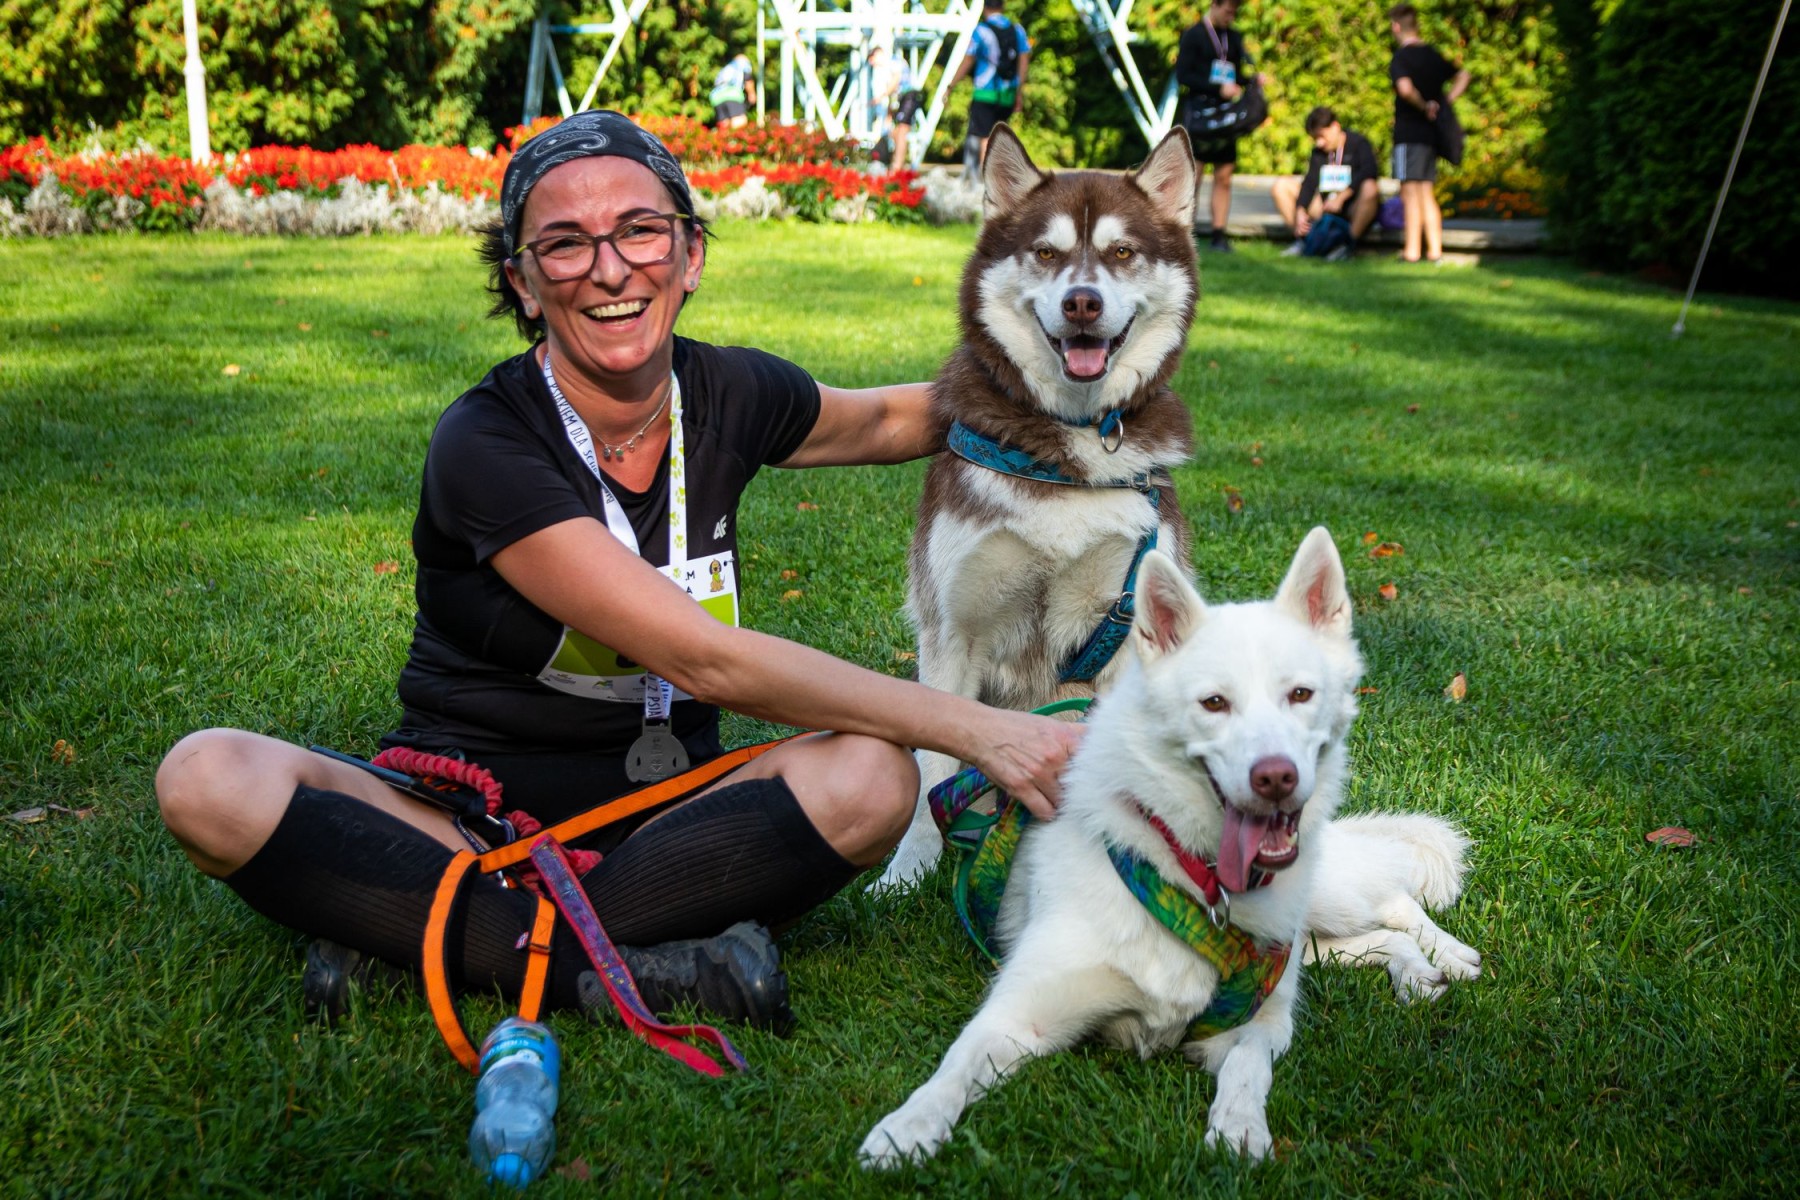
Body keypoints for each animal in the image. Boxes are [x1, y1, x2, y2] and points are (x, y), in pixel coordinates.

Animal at [856, 528, 1476, 1165]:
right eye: (1213, 703)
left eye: (1300, 694)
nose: (1275, 777)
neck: (1189, 878)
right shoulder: (1015, 1017)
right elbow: (951, 1070)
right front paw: (907, 1129)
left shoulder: (1253, 1027)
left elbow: (1249, 1069)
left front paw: (1239, 1127)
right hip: (1306, 939)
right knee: (1364, 936)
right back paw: (1417, 971)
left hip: (1321, 899)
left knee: (1394, 899)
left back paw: (1447, 956)